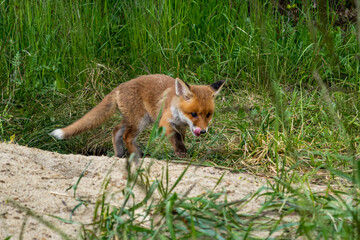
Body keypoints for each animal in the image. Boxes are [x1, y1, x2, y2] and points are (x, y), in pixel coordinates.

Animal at [50, 74, 225, 158]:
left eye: (208, 115)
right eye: (194, 114)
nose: (203, 131)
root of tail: (119, 87)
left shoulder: (181, 126)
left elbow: (180, 138)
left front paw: (180, 152)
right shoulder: (165, 122)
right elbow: (175, 137)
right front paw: (181, 153)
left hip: (135, 120)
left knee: (116, 131)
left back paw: (120, 154)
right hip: (139, 121)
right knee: (126, 136)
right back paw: (137, 155)